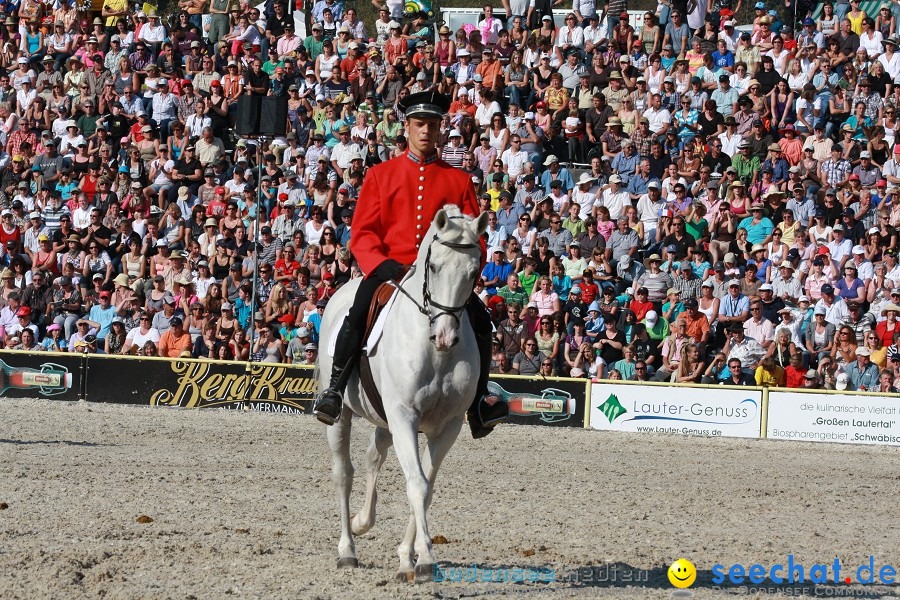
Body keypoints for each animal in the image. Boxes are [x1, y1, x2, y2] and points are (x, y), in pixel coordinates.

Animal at [318, 205, 488, 580]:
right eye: (434, 266)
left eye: (474, 271)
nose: (445, 336)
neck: (436, 354)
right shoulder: (404, 417)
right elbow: (417, 484)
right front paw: (424, 558)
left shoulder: (448, 426)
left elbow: (426, 487)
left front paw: (410, 558)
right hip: (343, 416)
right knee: (343, 474)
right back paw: (347, 549)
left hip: (385, 421)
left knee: (373, 456)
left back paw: (363, 521)